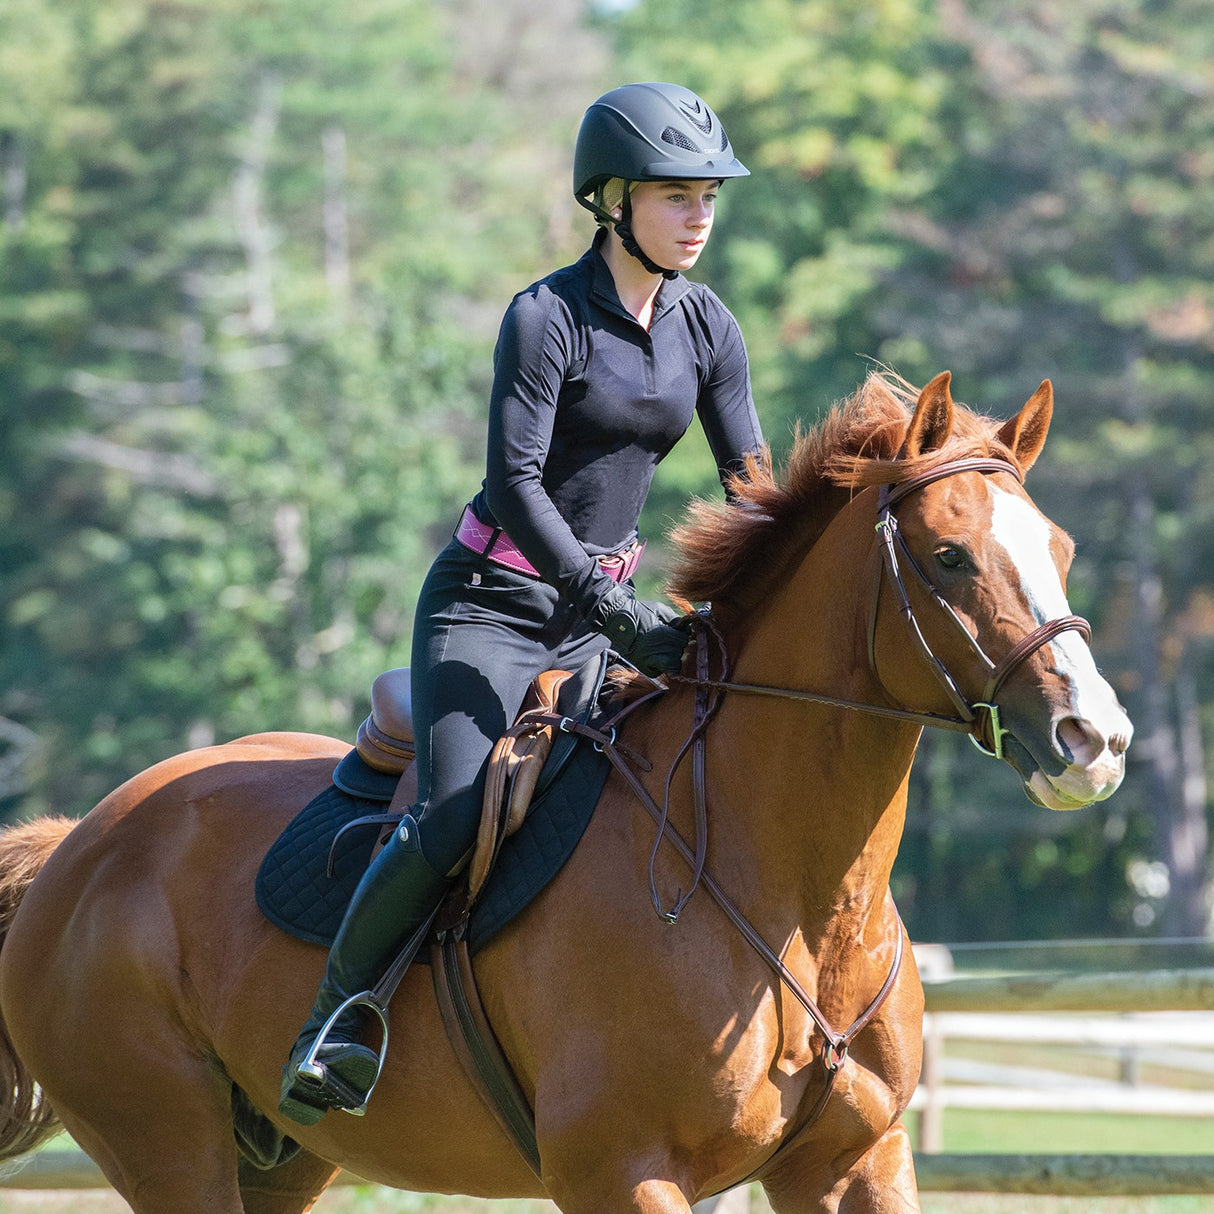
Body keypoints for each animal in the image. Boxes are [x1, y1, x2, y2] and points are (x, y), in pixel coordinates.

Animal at [0, 373, 1126, 1209]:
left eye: (1062, 550)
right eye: (948, 555)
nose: (1096, 739)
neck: (794, 897)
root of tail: (80, 843)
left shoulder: (854, 1162)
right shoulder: (623, 1174)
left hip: (280, 1159)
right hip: (170, 1146)